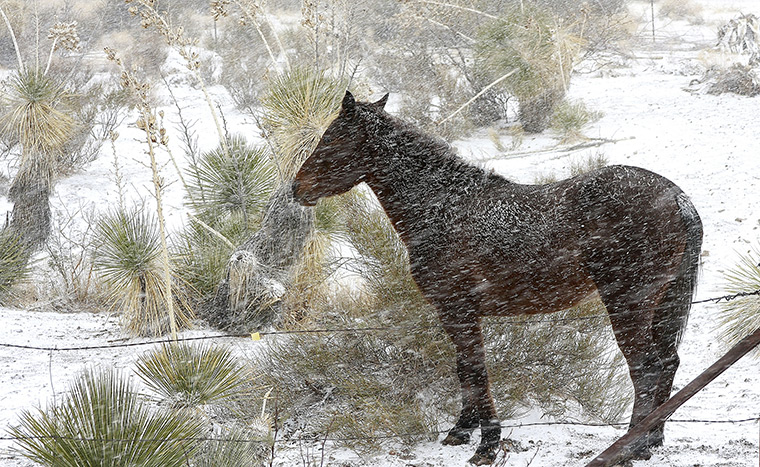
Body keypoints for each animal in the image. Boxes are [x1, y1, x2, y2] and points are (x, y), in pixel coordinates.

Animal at [292, 91, 703, 465]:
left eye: (332, 139)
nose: (298, 187)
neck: (444, 207)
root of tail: (675, 197)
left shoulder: (457, 308)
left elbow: (476, 369)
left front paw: (487, 446)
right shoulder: (455, 313)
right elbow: (465, 369)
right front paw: (461, 431)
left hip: (628, 303)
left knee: (647, 368)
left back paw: (630, 447)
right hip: (662, 303)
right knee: (667, 362)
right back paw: (653, 440)